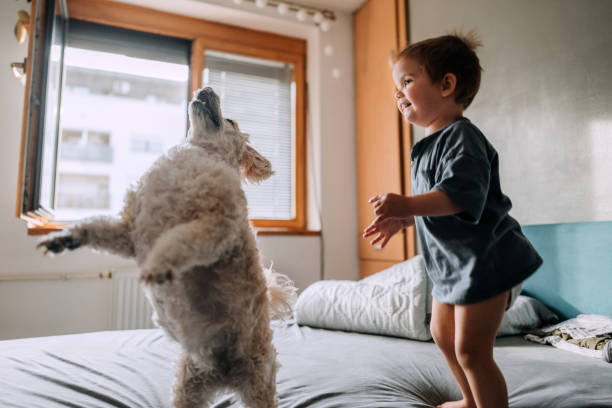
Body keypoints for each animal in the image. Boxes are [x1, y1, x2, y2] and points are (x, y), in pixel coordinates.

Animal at [37, 87, 296, 408]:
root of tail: (225, 375)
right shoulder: (128, 233)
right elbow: (96, 227)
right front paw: (66, 238)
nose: (206, 88)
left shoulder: (214, 228)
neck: (199, 153)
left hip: (258, 381)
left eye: (230, 121)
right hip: (189, 384)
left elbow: (178, 242)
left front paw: (159, 267)